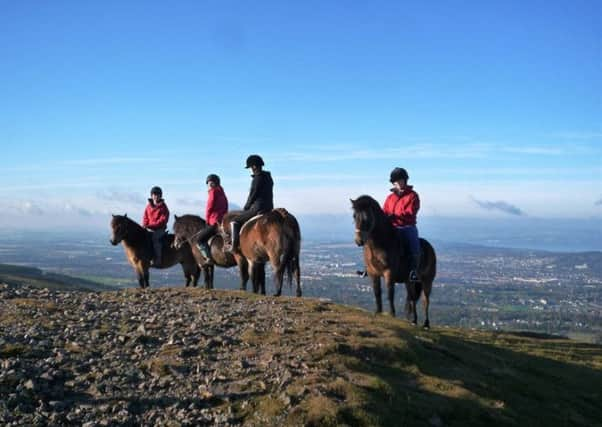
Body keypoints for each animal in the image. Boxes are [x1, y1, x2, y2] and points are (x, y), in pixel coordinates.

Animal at [350, 196, 434, 330]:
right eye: (354, 216)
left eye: (367, 217)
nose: (359, 241)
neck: (379, 244)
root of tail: (430, 248)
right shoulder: (373, 273)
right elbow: (377, 291)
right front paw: (378, 311)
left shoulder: (389, 273)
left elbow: (390, 292)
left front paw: (391, 314)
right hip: (409, 281)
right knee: (412, 298)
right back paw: (414, 320)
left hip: (427, 281)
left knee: (425, 301)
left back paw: (426, 324)